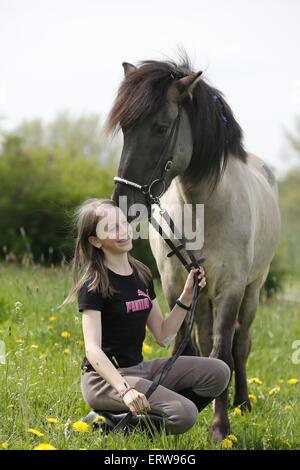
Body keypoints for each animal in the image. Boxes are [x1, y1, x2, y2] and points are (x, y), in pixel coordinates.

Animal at [105, 53, 282, 442]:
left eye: (160, 128)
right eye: (125, 129)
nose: (122, 203)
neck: (202, 207)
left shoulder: (231, 287)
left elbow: (222, 352)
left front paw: (219, 428)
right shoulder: (176, 282)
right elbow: (186, 347)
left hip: (253, 289)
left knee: (241, 344)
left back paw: (242, 402)